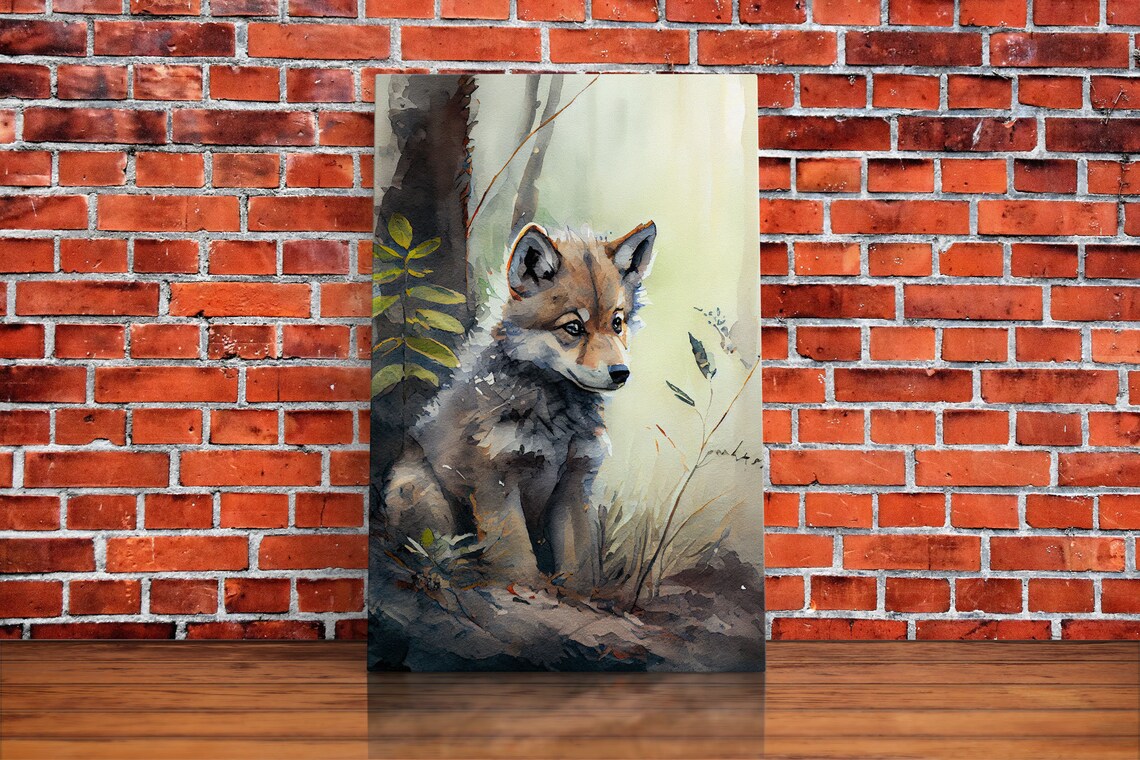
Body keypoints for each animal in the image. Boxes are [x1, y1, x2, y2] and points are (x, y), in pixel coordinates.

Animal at [383, 220, 657, 595]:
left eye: (617, 323)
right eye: (573, 327)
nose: (621, 373)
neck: (557, 423)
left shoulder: (574, 482)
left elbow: (580, 562)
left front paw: (577, 593)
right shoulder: (495, 480)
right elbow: (515, 558)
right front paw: (525, 588)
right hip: (421, 494)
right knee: (433, 552)